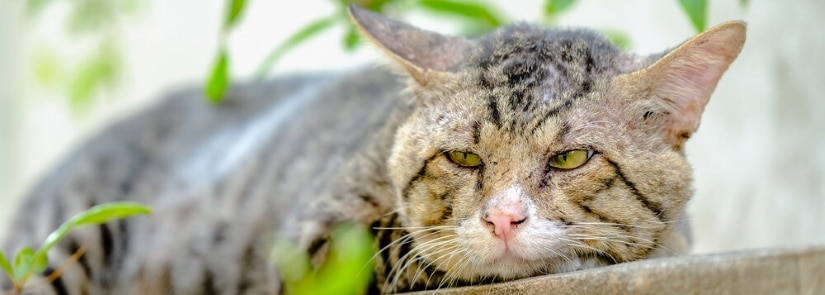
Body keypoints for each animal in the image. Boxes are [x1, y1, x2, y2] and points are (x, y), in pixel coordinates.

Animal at [1, 4, 748, 295]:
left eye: (569, 159)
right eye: (463, 158)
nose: (503, 218)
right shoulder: (317, 248)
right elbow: (413, 247)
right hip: (61, 245)